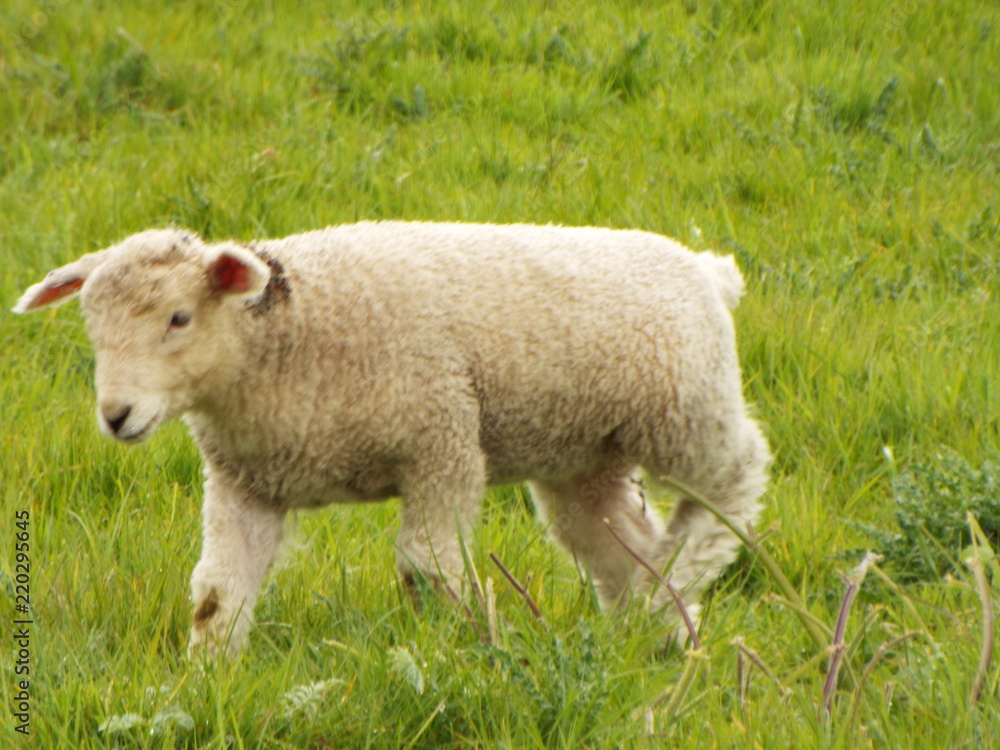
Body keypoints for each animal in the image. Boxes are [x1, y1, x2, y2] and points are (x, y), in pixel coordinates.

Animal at [14, 221, 770, 656]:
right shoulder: (246, 482)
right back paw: (657, 623)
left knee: (736, 478)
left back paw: (676, 578)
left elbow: (428, 563)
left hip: (684, 405)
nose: (116, 414)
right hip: (586, 454)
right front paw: (208, 678)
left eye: (178, 318)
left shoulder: (443, 436)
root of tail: (709, 269)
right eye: (91, 328)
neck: (283, 339)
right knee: (615, 537)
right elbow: (217, 590)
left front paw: (468, 648)